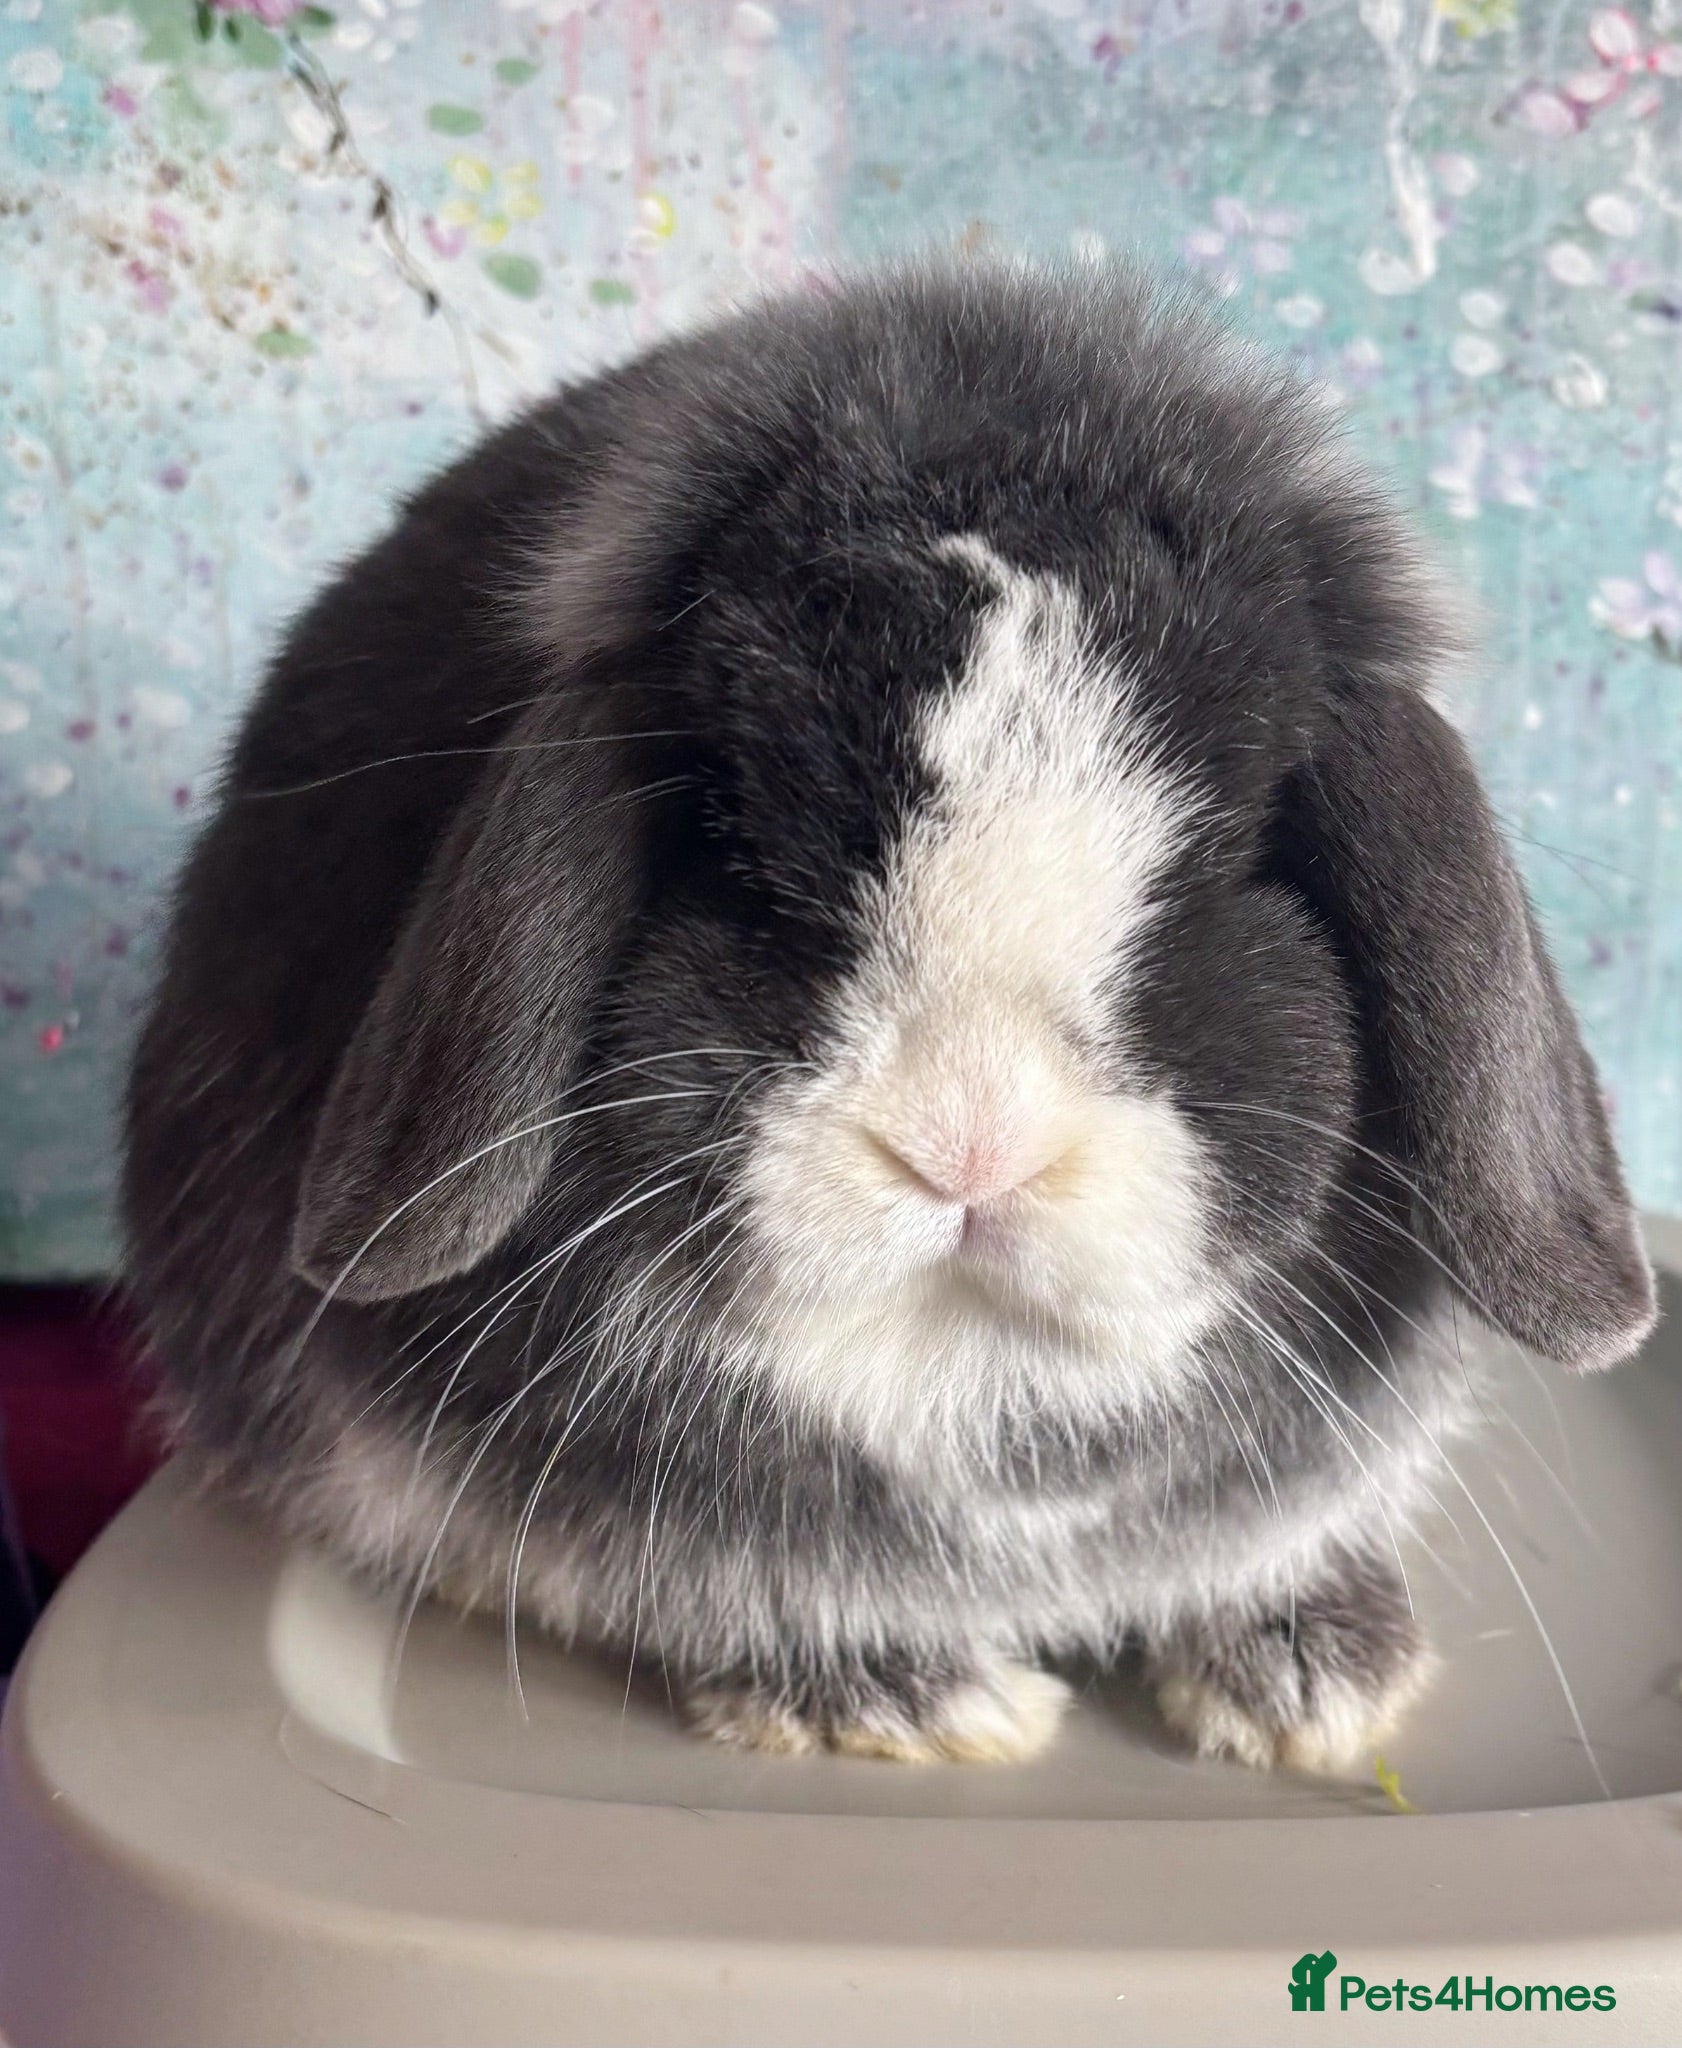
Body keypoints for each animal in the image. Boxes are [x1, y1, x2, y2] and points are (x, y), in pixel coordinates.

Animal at [123, 262, 1655, 1773]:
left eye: (1228, 861)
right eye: (739, 854)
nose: (969, 1147)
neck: (971, 1390)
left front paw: (1315, 1684)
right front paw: (905, 1701)